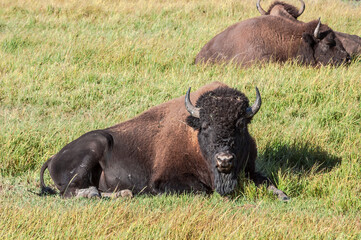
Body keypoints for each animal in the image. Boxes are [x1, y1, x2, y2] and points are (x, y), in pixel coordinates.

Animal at [38, 82, 286, 201]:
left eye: (241, 125)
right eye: (206, 126)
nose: (224, 160)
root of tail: (53, 157)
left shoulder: (250, 169)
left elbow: (266, 181)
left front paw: (282, 195)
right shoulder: (164, 180)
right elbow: (201, 190)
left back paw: (123, 194)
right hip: (94, 147)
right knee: (73, 192)